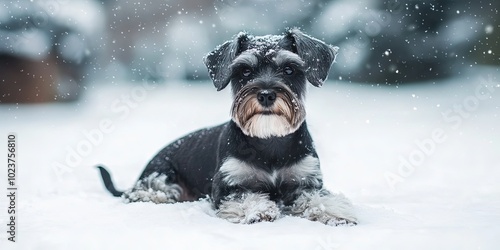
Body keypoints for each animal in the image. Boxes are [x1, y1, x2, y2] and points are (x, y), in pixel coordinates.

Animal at [96, 28, 356, 226]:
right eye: (245, 70)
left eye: (289, 69)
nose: (266, 95)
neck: (269, 139)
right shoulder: (228, 185)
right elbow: (245, 197)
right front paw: (258, 210)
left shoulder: (306, 180)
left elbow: (317, 197)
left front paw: (333, 210)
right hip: (163, 174)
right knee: (146, 188)